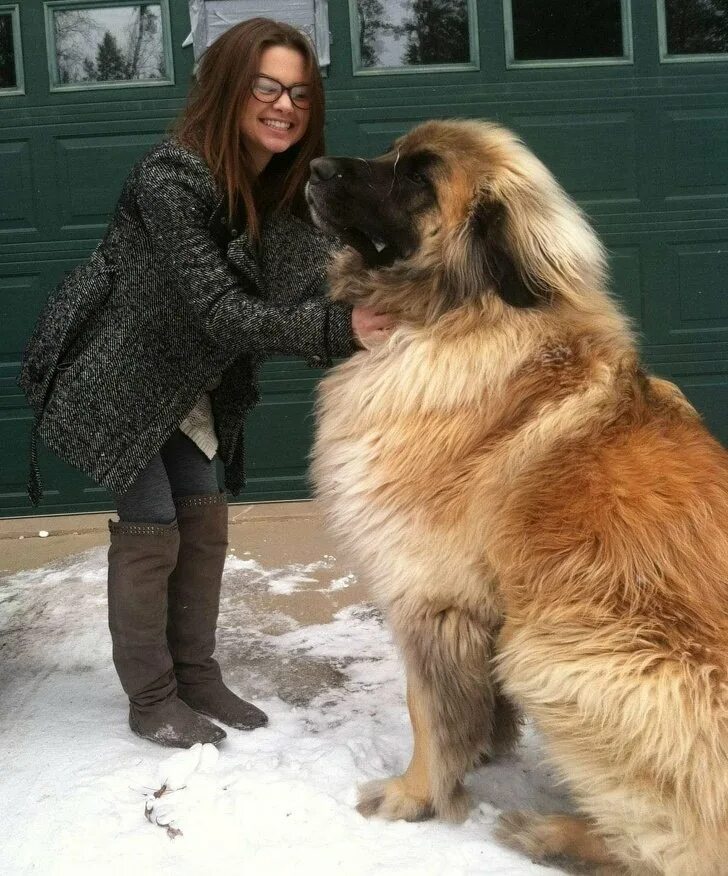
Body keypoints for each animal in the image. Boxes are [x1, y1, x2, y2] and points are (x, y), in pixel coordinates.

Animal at [304, 118, 728, 876]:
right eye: (391, 154)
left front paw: (414, 794)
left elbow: (426, 707)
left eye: (417, 177)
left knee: (672, 851)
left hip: (557, 651)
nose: (315, 168)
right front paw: (480, 749)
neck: (461, 314)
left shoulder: (428, 593)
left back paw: (550, 833)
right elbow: (470, 703)